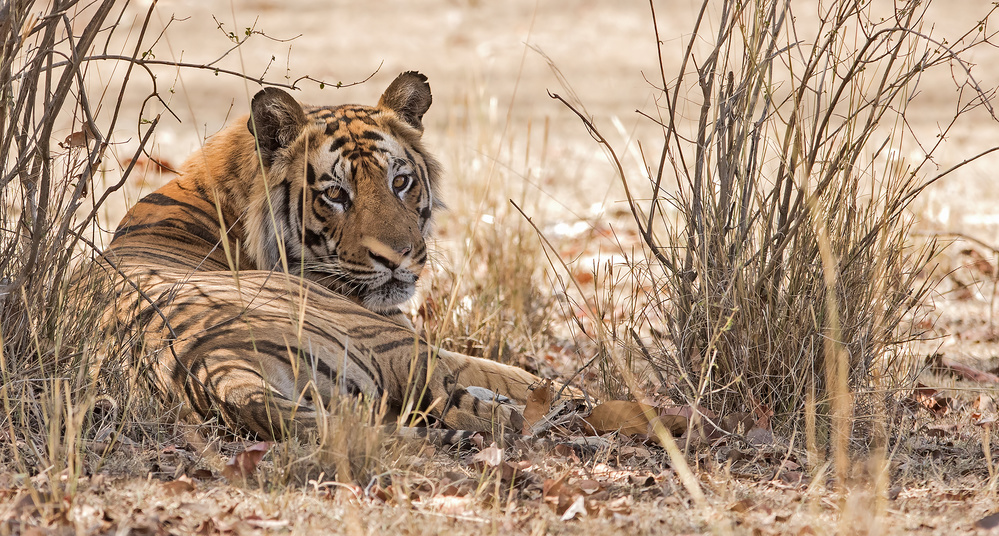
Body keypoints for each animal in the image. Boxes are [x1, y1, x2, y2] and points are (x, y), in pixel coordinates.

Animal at [97, 71, 552, 440]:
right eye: (335, 193)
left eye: (400, 182)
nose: (396, 257)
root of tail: (217, 366)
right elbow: (507, 371)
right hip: (397, 348)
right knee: (481, 406)